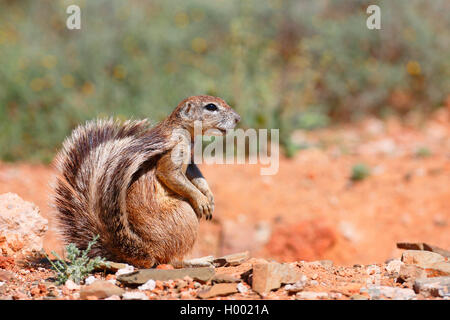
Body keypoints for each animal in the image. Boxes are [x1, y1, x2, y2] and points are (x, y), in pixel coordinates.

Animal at [52, 95, 241, 268]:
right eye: (211, 107)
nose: (238, 118)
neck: (183, 130)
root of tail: (147, 251)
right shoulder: (173, 153)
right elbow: (169, 174)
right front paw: (201, 200)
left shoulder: (190, 162)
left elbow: (197, 175)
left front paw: (209, 196)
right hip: (186, 216)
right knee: (172, 261)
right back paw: (199, 261)